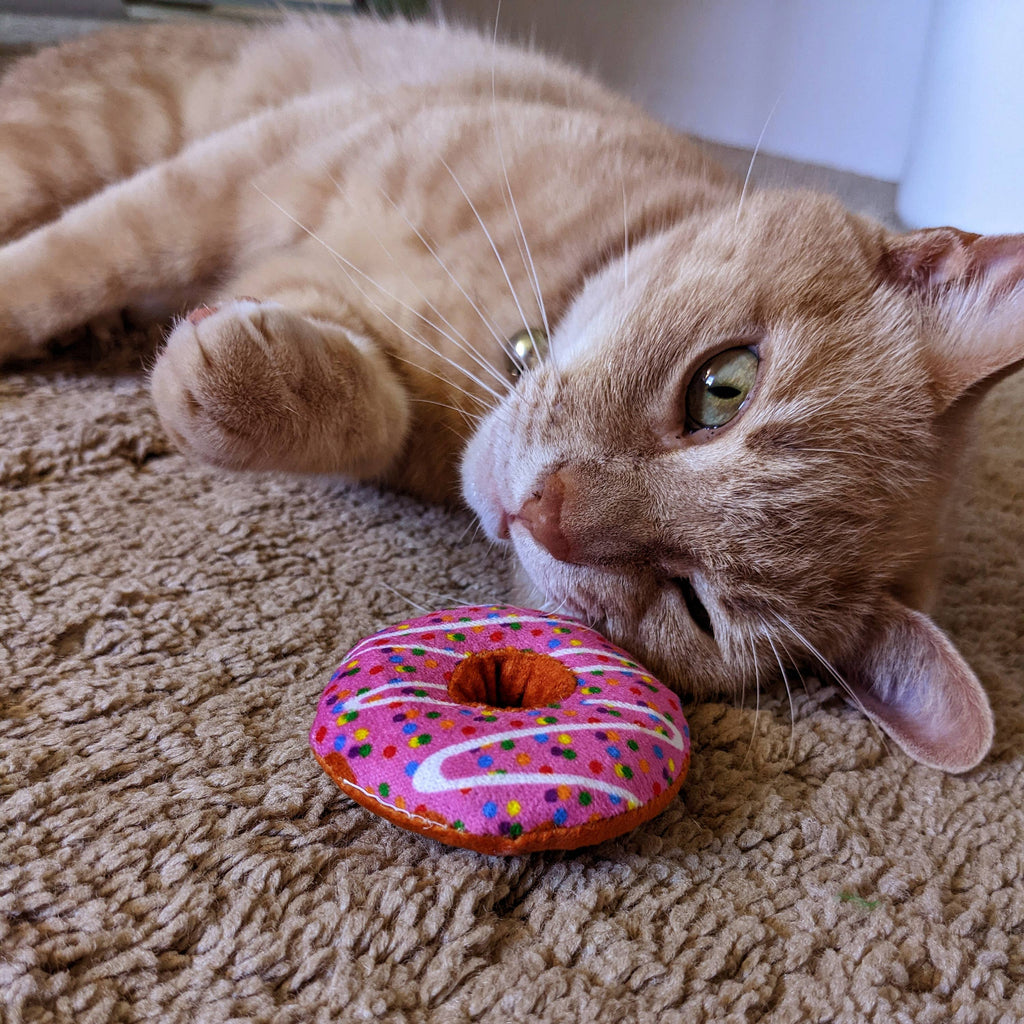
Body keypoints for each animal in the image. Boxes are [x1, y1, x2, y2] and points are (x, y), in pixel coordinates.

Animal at [0, 16, 1019, 770]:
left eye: (693, 604)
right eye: (722, 388)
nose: (544, 510)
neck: (493, 344)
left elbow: (366, 410)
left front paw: (240, 381)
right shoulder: (263, 161)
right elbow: (81, 256)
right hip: (84, 131)